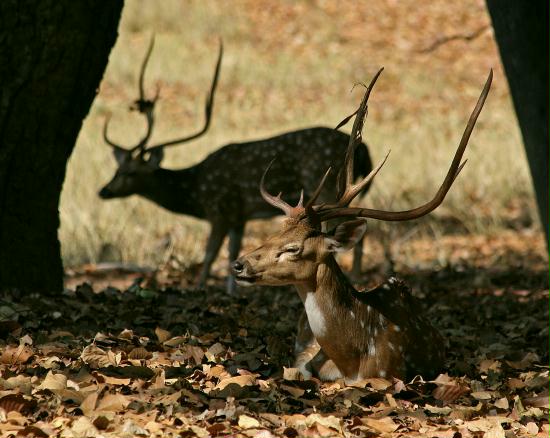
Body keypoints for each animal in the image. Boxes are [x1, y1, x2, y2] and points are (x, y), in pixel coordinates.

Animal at [99, 37, 376, 292]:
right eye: (116, 169)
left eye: (130, 172)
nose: (103, 191)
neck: (195, 192)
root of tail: (363, 150)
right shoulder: (238, 216)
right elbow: (234, 250)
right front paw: (233, 288)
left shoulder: (219, 210)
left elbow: (210, 254)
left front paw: (200, 288)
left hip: (326, 185)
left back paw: (356, 278)